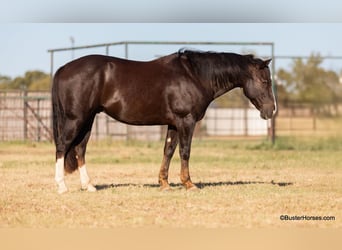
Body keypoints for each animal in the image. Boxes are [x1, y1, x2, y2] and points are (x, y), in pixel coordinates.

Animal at [50, 48, 276, 193]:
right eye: (264, 81)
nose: (271, 111)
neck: (193, 76)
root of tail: (63, 68)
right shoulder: (186, 121)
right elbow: (185, 151)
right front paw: (189, 184)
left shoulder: (173, 124)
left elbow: (168, 151)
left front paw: (164, 184)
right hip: (75, 119)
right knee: (62, 146)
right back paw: (61, 186)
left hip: (87, 120)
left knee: (79, 149)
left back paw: (89, 186)